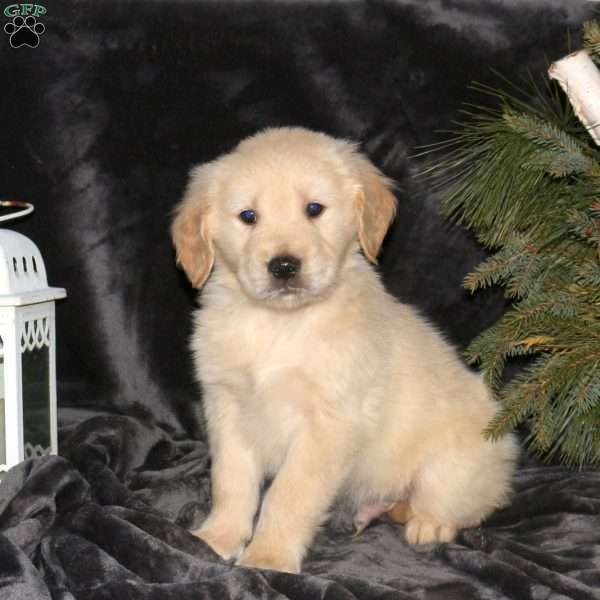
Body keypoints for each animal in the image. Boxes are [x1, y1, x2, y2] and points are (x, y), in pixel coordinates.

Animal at [171, 125, 516, 572]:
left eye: (314, 209)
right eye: (248, 217)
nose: (284, 266)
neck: (280, 324)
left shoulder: (329, 424)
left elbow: (287, 495)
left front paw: (268, 557)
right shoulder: (227, 407)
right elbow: (231, 481)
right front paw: (218, 537)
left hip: (454, 463)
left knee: (461, 502)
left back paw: (428, 524)